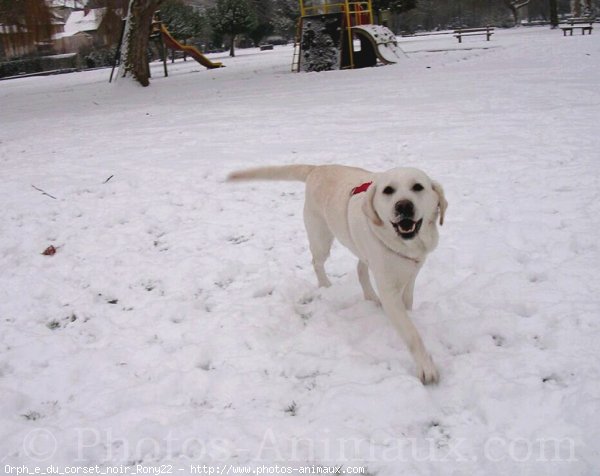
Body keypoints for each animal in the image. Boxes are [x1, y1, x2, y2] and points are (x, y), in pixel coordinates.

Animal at [227, 164, 448, 384]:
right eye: (388, 190)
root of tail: (318, 168)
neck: (405, 245)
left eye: (418, 187)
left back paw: (370, 297)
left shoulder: (412, 271)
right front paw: (426, 367)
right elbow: (411, 334)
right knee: (317, 262)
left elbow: (408, 300)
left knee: (360, 269)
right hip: (321, 239)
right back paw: (325, 284)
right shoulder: (388, 289)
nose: (403, 206)